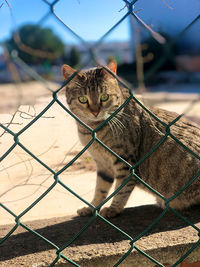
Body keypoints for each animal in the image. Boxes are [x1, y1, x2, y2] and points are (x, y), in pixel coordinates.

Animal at [61, 59, 199, 219]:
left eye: (104, 97)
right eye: (83, 99)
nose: (95, 112)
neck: (92, 130)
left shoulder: (125, 163)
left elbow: (122, 189)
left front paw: (113, 208)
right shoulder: (103, 165)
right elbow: (100, 190)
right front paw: (91, 208)